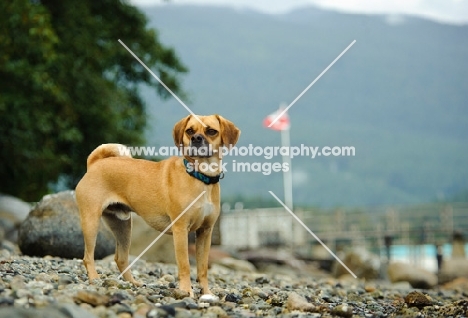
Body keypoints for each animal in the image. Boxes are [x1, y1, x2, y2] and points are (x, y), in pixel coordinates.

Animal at [76, 114, 241, 296]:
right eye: (189, 131)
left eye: (211, 131)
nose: (196, 138)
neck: (200, 176)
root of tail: (94, 164)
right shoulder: (181, 230)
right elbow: (184, 265)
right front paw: (186, 291)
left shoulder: (205, 232)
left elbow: (203, 267)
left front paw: (206, 293)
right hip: (91, 222)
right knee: (88, 257)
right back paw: (94, 278)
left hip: (123, 226)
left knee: (120, 258)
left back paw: (132, 283)